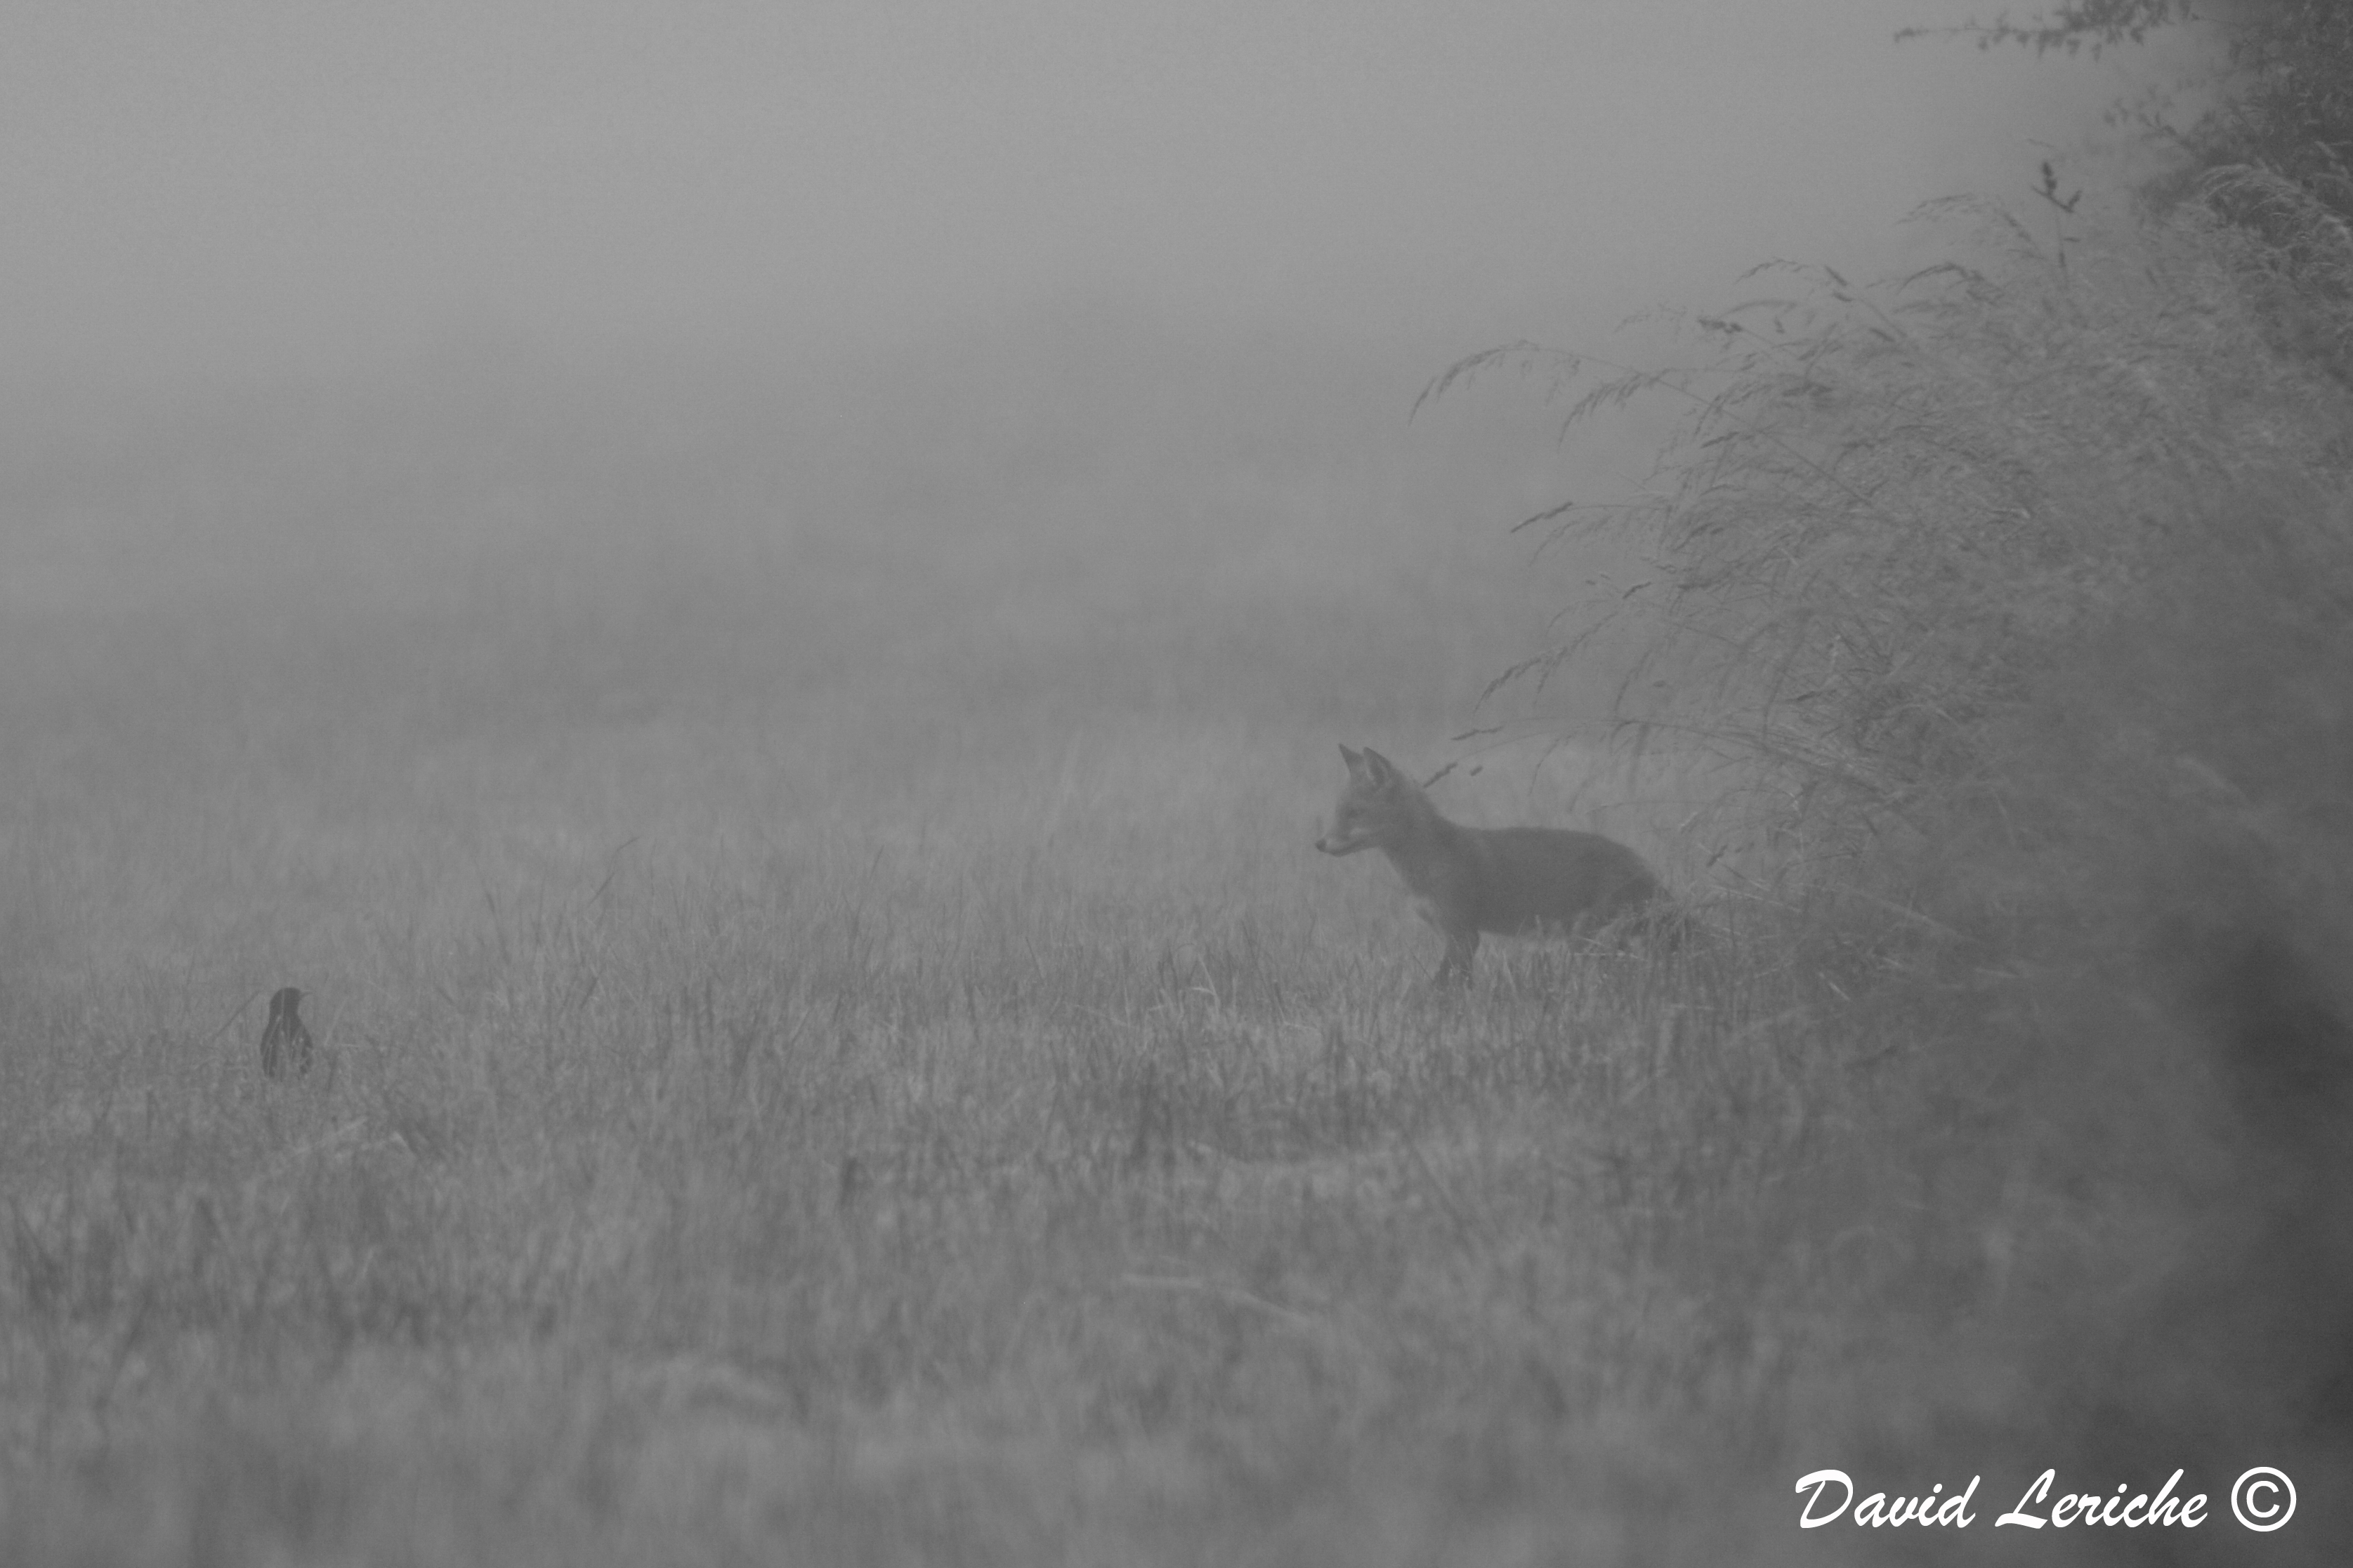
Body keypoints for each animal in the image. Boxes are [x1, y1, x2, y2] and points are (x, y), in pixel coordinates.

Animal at [1315, 745, 1665, 986]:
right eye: (1337, 812)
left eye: (1354, 813)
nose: (1319, 844)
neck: (1425, 865)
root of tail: (1647, 867)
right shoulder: (1451, 934)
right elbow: (1459, 984)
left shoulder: (1463, 934)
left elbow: (1440, 985)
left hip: (1587, 941)